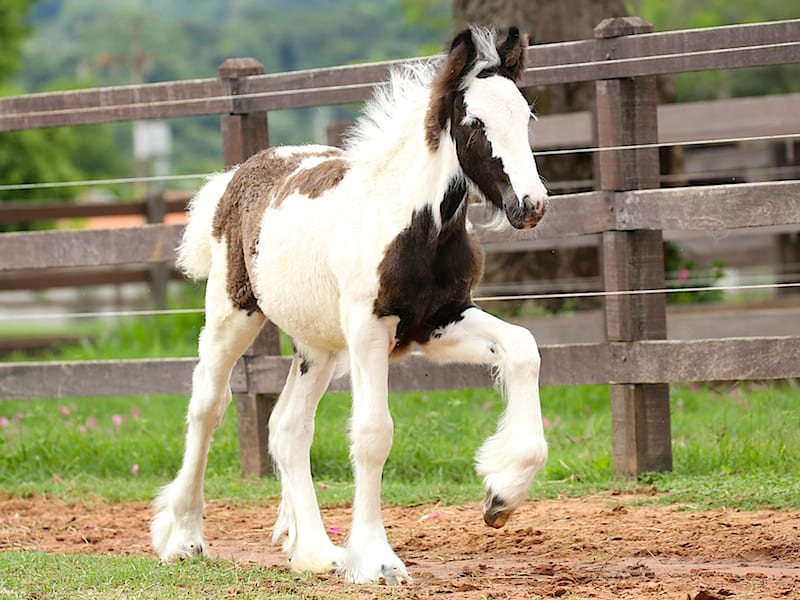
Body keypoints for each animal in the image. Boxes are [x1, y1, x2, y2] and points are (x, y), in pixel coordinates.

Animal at [151, 25, 549, 584]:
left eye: (526, 118)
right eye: (476, 124)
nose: (531, 206)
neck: (411, 225)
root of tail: (235, 177)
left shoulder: (440, 321)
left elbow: (523, 348)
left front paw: (501, 495)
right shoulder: (369, 329)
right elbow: (373, 433)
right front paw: (377, 560)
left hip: (316, 347)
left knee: (288, 429)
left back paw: (316, 551)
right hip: (233, 317)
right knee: (208, 407)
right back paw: (184, 538)